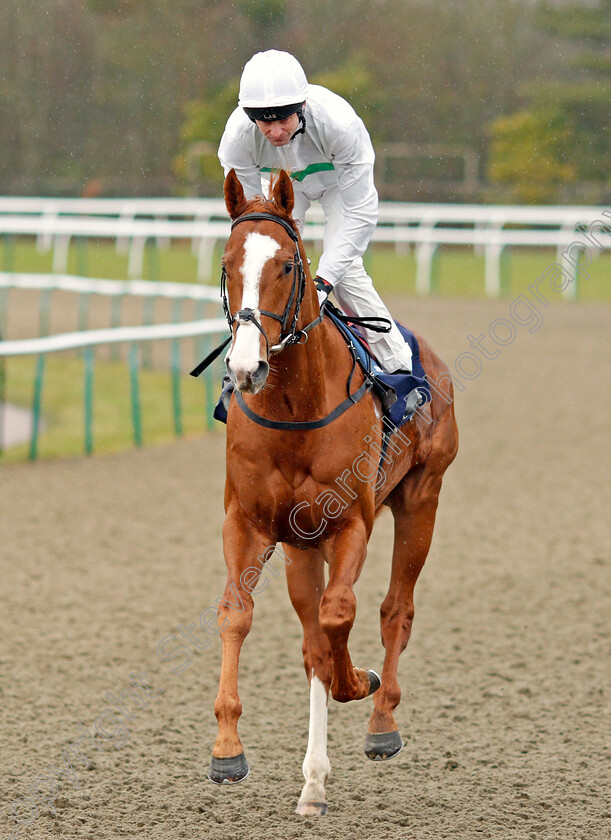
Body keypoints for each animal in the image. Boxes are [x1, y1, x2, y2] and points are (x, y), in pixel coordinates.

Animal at [208, 169, 456, 812]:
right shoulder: (250, 523)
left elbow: (341, 614)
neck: (295, 407)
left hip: (422, 498)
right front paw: (226, 748)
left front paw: (359, 682)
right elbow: (238, 614)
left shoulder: (350, 523)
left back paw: (381, 722)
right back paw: (313, 783)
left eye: (287, 265)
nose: (246, 368)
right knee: (311, 641)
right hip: (301, 545)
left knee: (395, 609)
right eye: (227, 263)